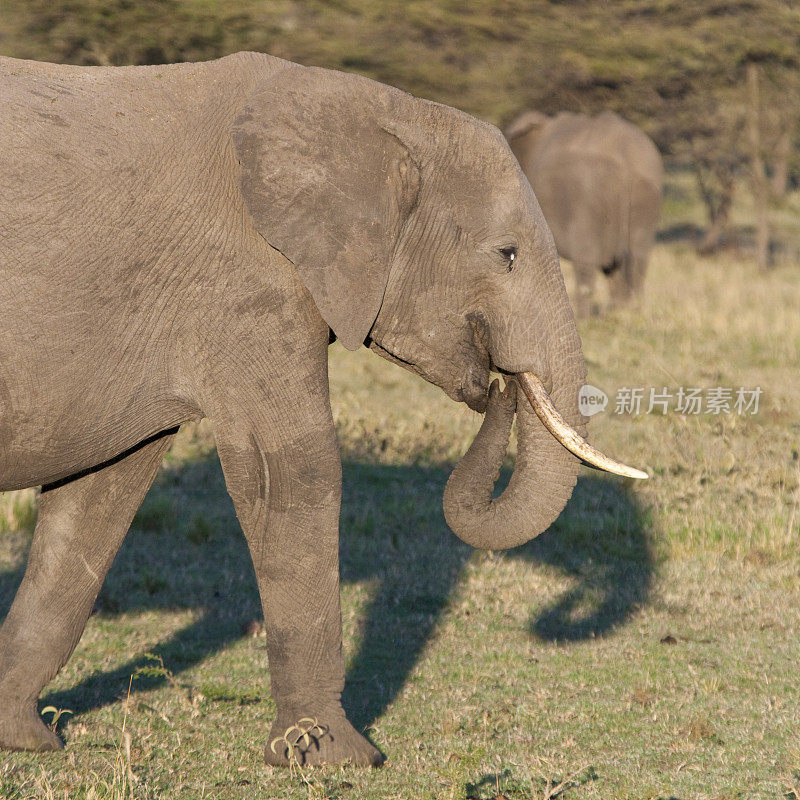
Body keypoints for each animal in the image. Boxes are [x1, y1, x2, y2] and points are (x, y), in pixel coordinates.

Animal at [0, 51, 644, 768]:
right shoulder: (250, 283)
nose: (499, 385)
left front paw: (27, 739)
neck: (381, 110)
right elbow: (295, 474)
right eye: (506, 255)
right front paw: (337, 757)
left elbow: (99, 493)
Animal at [506, 108, 664, 318]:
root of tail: (623, 155)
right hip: (646, 193)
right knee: (637, 258)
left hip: (587, 198)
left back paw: (586, 317)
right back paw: (628, 311)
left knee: (586, 262)